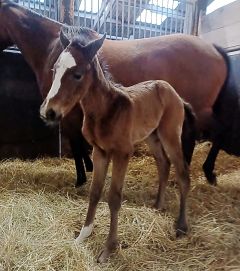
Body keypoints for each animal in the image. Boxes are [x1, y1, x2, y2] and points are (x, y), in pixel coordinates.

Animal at [40, 29, 192, 264]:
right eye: (55, 69)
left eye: (77, 74)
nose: (48, 112)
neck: (105, 111)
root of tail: (174, 93)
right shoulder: (99, 152)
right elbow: (95, 192)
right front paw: (83, 235)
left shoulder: (122, 153)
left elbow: (113, 197)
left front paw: (108, 249)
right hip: (152, 136)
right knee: (163, 164)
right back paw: (158, 205)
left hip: (170, 135)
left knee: (182, 172)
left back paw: (181, 227)